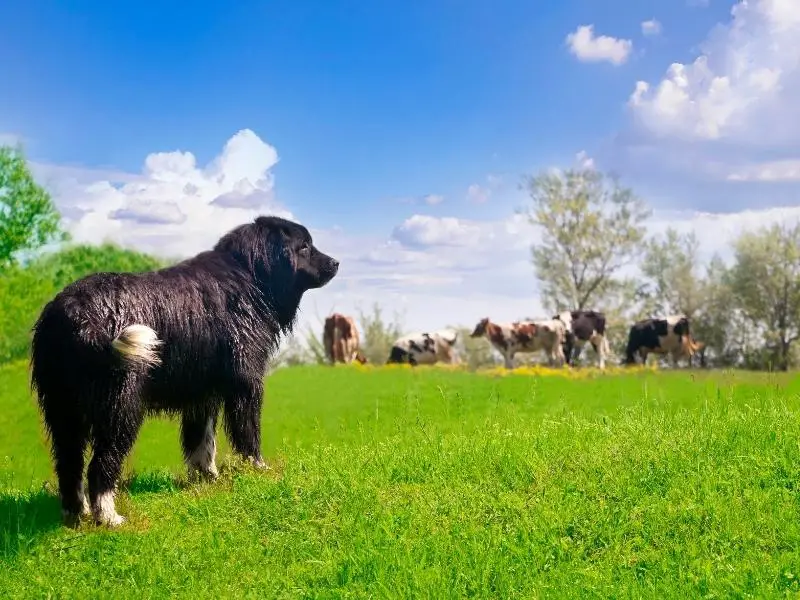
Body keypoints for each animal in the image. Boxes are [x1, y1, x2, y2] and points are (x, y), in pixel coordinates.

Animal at [29, 216, 338, 524]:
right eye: (305, 246)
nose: (336, 262)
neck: (251, 277)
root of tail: (76, 313)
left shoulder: (202, 395)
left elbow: (201, 442)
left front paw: (208, 479)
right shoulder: (246, 383)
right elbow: (248, 432)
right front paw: (258, 470)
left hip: (63, 409)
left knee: (68, 463)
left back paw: (76, 514)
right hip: (120, 407)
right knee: (100, 464)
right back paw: (109, 517)